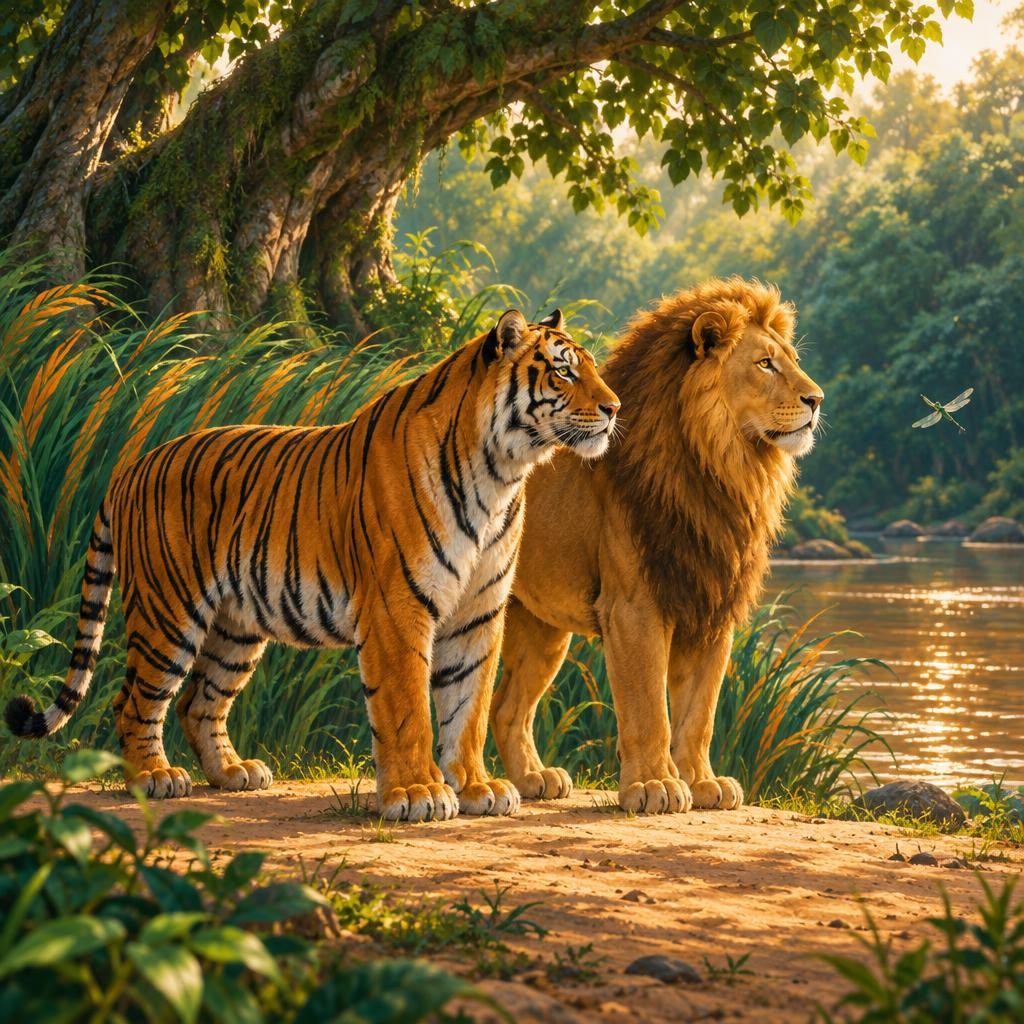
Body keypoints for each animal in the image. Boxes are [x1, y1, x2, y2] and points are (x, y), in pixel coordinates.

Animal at [5, 309, 620, 823]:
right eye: (563, 372)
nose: (615, 409)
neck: (500, 474)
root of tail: (130, 466)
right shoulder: (398, 609)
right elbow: (408, 710)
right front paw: (417, 794)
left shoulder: (478, 613)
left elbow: (467, 706)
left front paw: (475, 788)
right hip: (168, 614)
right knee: (133, 701)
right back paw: (155, 777)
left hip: (235, 627)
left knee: (198, 701)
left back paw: (233, 773)